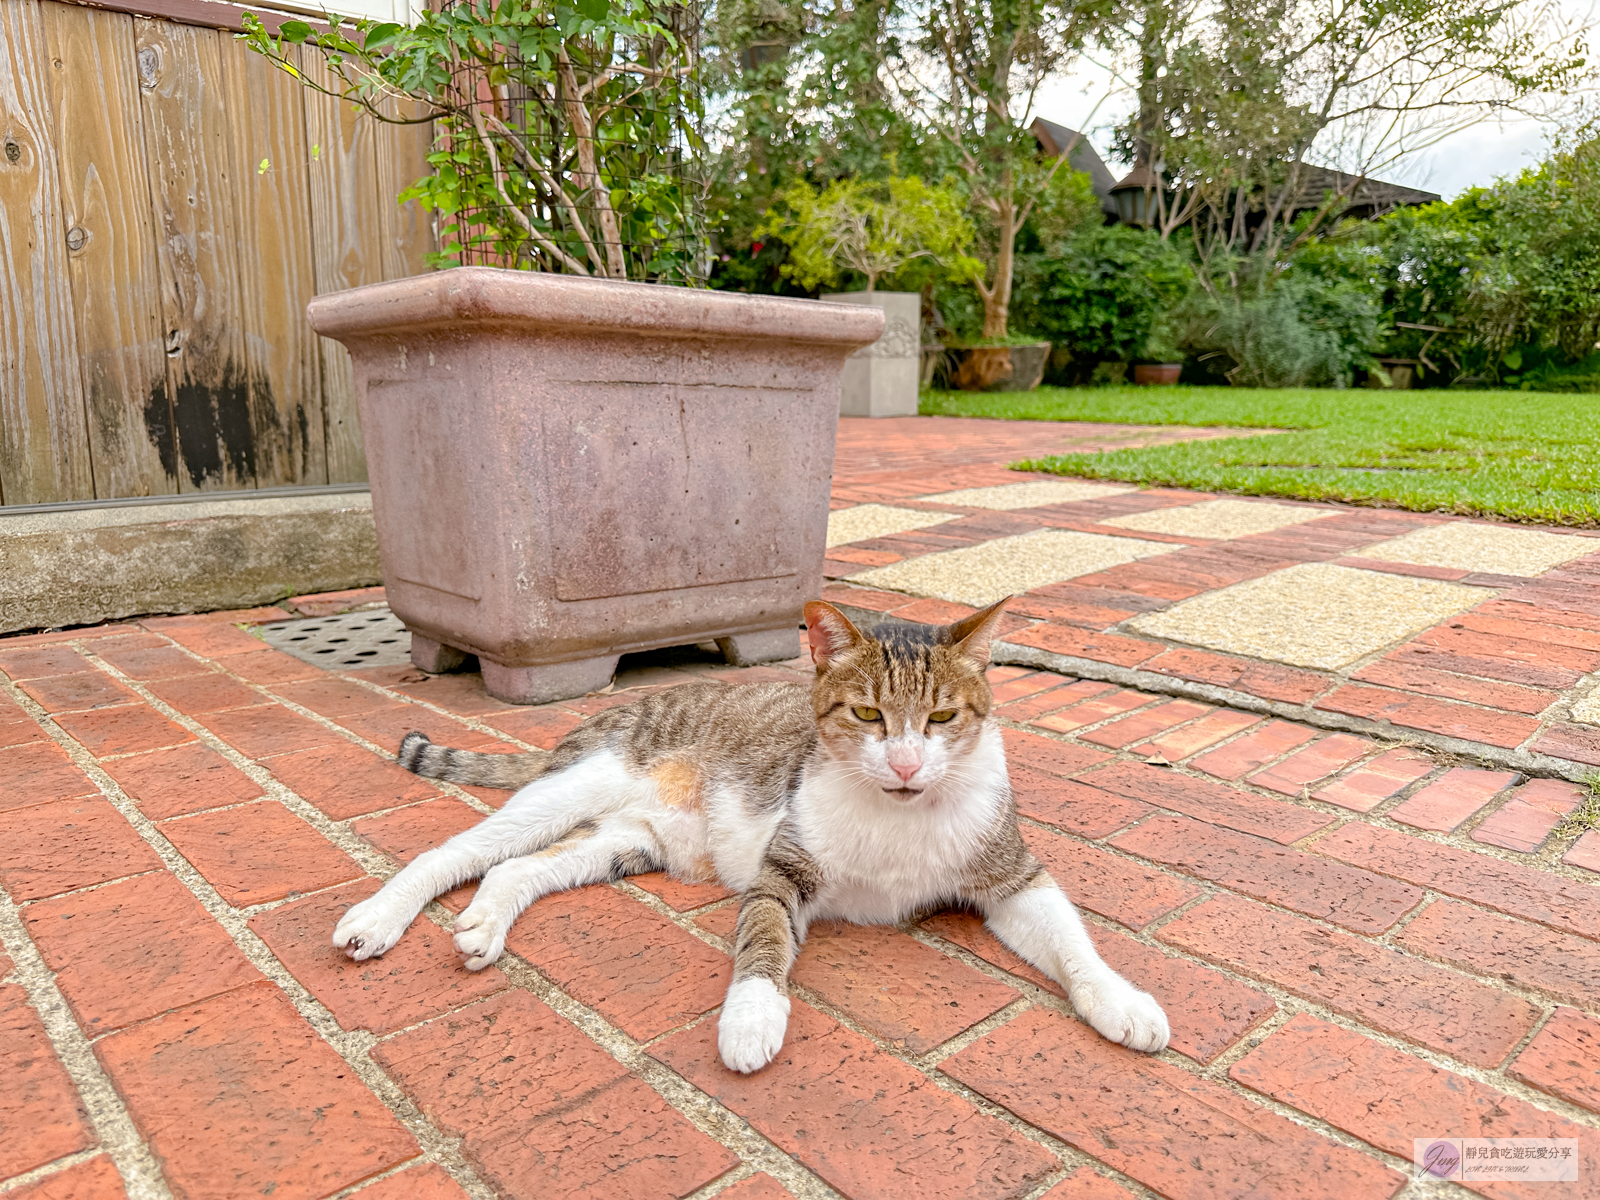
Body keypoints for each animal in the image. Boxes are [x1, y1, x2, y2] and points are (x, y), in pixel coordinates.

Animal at [331, 598, 1171, 1068]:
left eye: (941, 717)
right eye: (868, 714)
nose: (905, 762)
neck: (898, 814)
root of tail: (609, 712)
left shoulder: (1011, 874)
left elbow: (1071, 938)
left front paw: (1121, 1000)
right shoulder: (782, 869)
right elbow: (762, 941)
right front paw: (752, 1017)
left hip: (624, 842)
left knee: (518, 870)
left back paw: (483, 926)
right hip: (574, 784)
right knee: (461, 850)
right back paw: (377, 917)